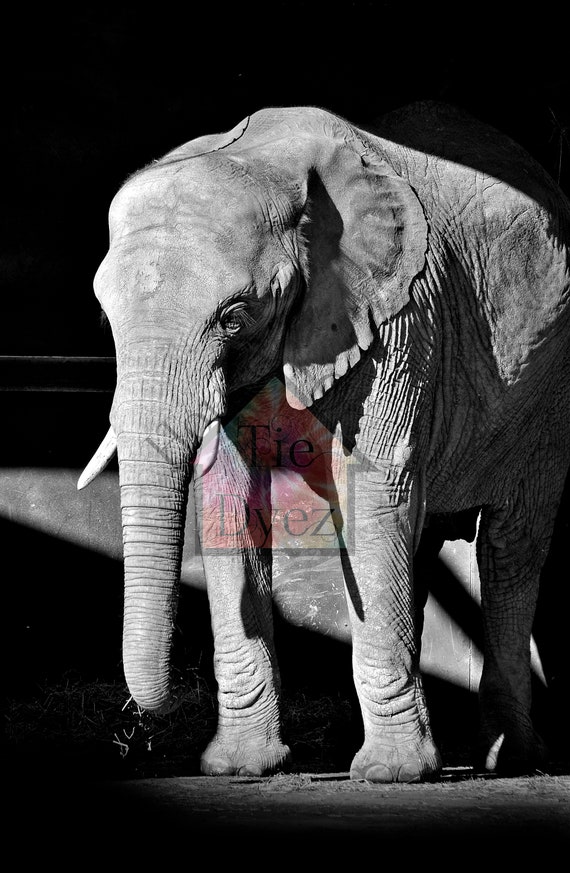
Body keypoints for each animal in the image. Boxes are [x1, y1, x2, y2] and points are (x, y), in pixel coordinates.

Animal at [79, 100, 570, 782]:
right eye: (104, 314)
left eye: (235, 316)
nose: (145, 720)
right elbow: (230, 499)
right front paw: (238, 767)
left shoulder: (399, 317)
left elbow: (374, 488)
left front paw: (391, 775)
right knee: (421, 537)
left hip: (546, 393)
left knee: (510, 545)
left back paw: (510, 761)